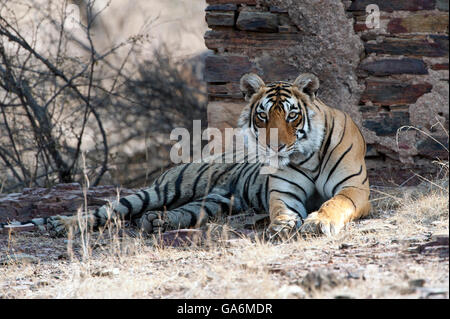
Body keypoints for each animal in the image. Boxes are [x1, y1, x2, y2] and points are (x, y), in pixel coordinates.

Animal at [18, 73, 370, 240]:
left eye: (292, 116)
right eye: (263, 116)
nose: (276, 147)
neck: (307, 156)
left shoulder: (354, 190)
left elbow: (334, 203)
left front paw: (318, 222)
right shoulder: (284, 193)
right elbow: (281, 210)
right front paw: (282, 227)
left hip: (215, 201)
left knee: (184, 212)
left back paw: (156, 221)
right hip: (163, 189)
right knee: (107, 210)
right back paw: (62, 224)